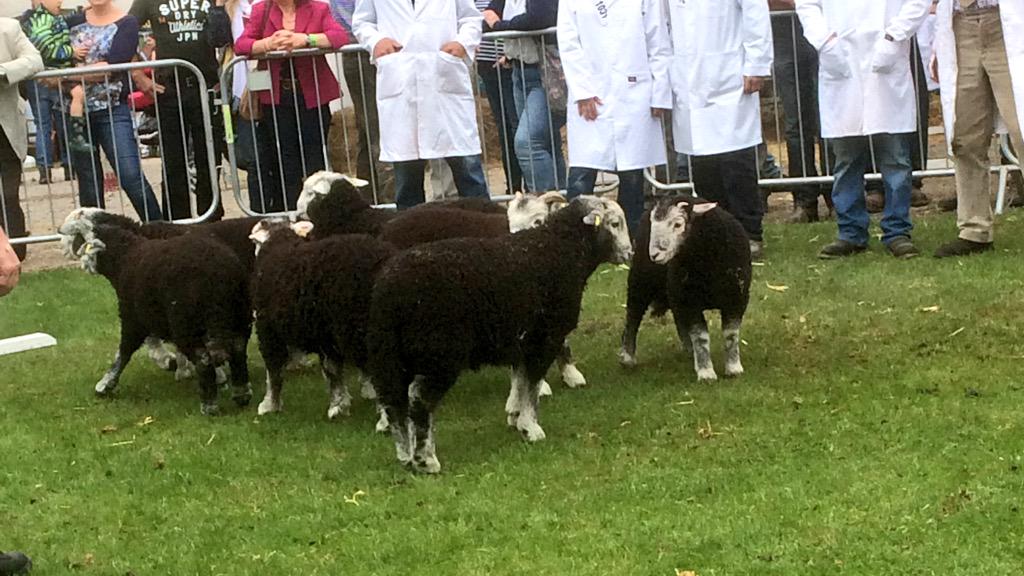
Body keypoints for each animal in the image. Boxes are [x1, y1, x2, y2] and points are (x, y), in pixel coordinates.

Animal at [58, 208, 253, 415]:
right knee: (237, 348)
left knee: (204, 358)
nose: (59, 234)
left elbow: (125, 350)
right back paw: (240, 392)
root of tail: (217, 275)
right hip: (237, 316)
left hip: (187, 321)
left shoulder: (136, 315)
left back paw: (210, 405)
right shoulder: (153, 313)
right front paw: (180, 367)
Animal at [249, 218, 396, 421]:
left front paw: (270, 405)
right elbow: (333, 371)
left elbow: (274, 371)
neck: (278, 245)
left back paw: (385, 420)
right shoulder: (325, 336)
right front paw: (342, 402)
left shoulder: (269, 330)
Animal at [366, 196, 634, 474]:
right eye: (615, 223)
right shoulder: (544, 340)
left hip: (390, 353)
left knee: (394, 401)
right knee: (418, 399)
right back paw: (425, 460)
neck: (558, 249)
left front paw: (514, 417)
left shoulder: (521, 340)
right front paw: (530, 428)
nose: (630, 253)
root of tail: (389, 292)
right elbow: (532, 385)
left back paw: (405, 454)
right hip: (439, 353)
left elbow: (519, 380)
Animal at [618, 196, 752, 381]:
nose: (655, 254)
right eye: (654, 224)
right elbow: (701, 337)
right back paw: (627, 357)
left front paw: (733, 368)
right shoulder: (690, 301)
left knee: (678, 317)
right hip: (641, 280)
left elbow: (731, 334)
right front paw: (706, 372)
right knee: (633, 315)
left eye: (678, 224)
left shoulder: (736, 298)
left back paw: (690, 351)